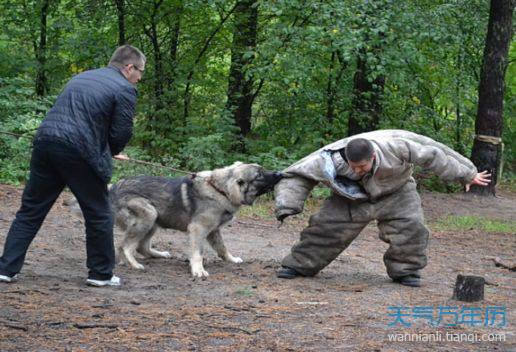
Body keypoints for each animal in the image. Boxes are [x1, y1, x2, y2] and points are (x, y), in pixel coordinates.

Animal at [108, 162, 282, 278]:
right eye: (259, 175)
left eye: (262, 170)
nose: (279, 173)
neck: (220, 190)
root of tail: (113, 188)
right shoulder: (198, 229)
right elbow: (198, 253)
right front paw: (198, 270)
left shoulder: (214, 231)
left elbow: (222, 248)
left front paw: (231, 259)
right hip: (149, 215)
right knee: (125, 246)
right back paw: (133, 264)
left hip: (155, 219)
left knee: (141, 247)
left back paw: (159, 255)